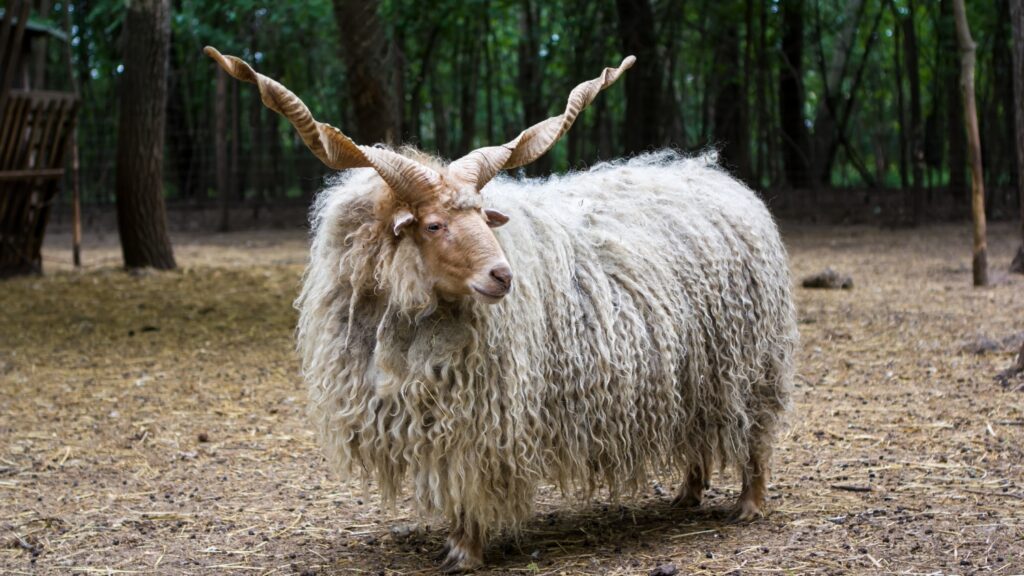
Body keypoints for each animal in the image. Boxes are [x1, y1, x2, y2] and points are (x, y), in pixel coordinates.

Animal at [205, 44, 798, 569]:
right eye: (433, 225)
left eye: (481, 218)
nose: (502, 275)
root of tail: (715, 176)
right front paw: (455, 543)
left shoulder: (481, 416)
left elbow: (468, 478)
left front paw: (465, 550)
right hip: (691, 373)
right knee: (696, 432)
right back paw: (687, 495)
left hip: (749, 364)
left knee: (754, 434)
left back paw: (749, 505)